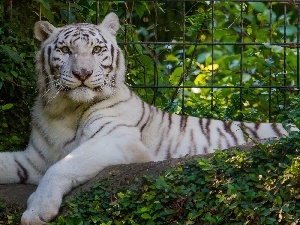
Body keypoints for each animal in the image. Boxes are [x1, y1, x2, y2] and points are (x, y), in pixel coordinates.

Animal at [0, 13, 296, 224]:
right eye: (66, 51)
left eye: (96, 50)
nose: (82, 73)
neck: (63, 110)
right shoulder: (35, 159)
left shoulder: (118, 140)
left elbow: (63, 166)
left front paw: (37, 211)